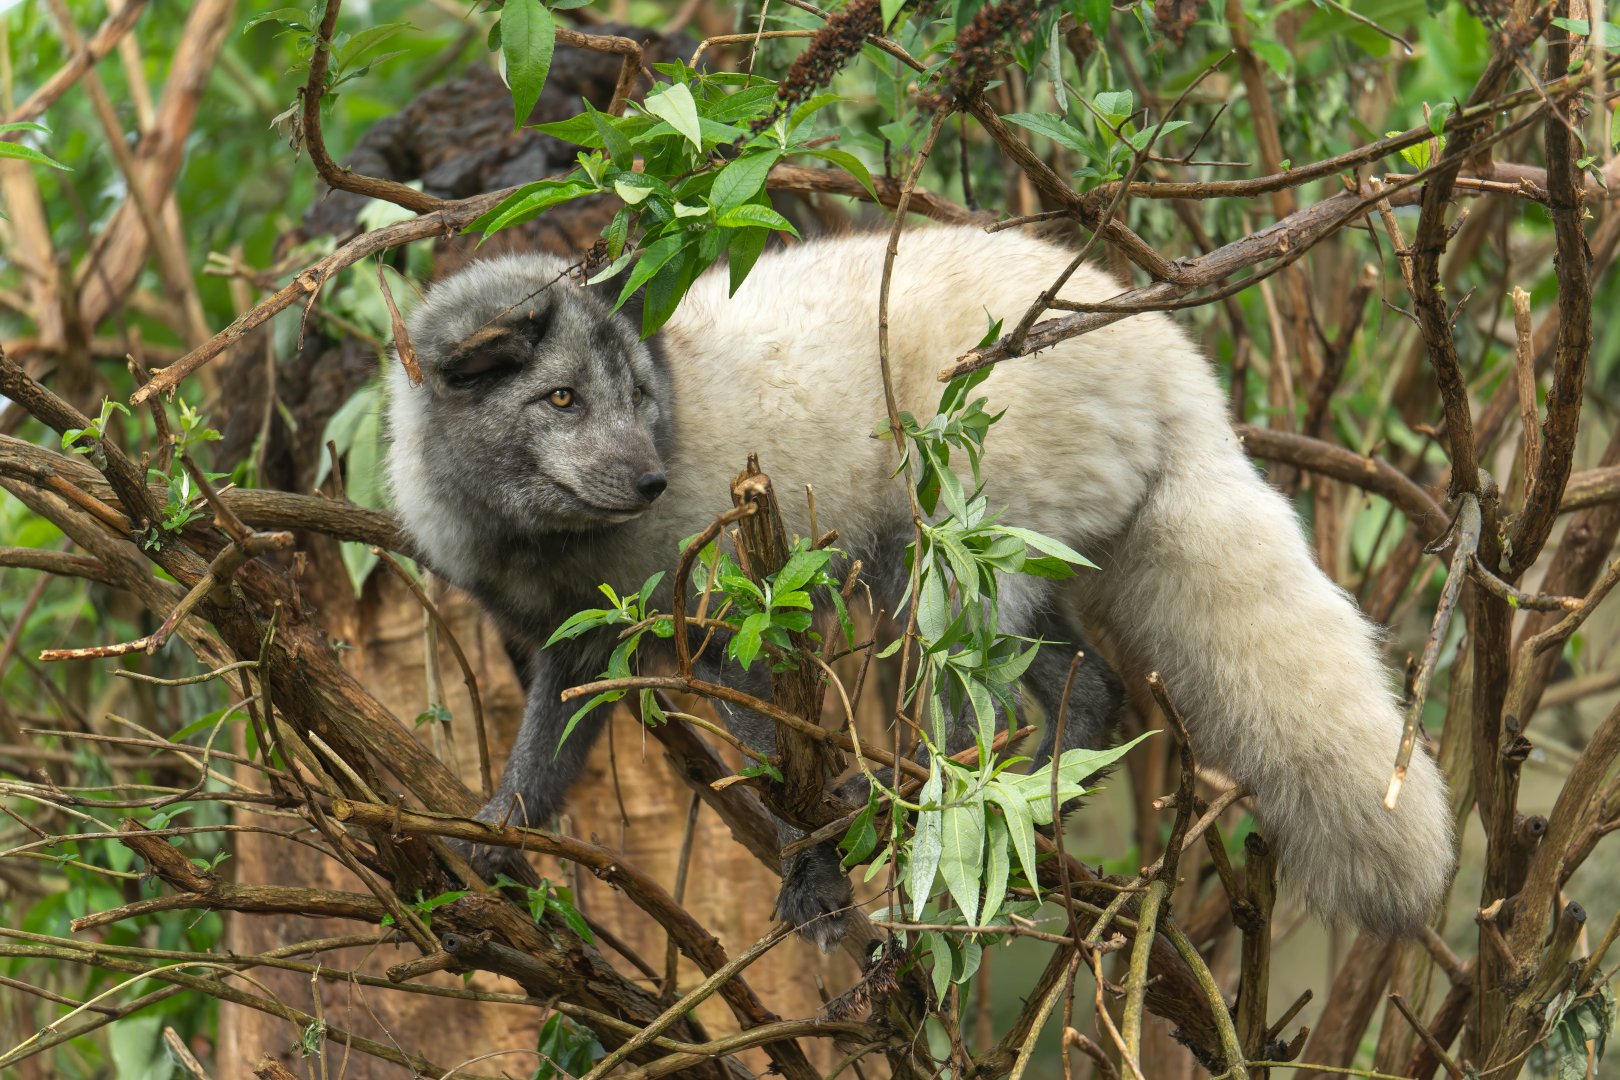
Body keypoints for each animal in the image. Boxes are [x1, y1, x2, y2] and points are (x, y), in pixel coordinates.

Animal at [385, 225, 1456, 947]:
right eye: (561, 399)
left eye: (640, 399)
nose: (650, 477)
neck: (544, 544)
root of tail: (1176, 366)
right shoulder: (578, 647)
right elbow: (539, 764)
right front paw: (489, 844)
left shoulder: (729, 636)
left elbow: (781, 776)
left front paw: (816, 884)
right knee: (1099, 694)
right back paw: (1032, 812)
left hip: (936, 572)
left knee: (971, 724)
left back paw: (928, 829)